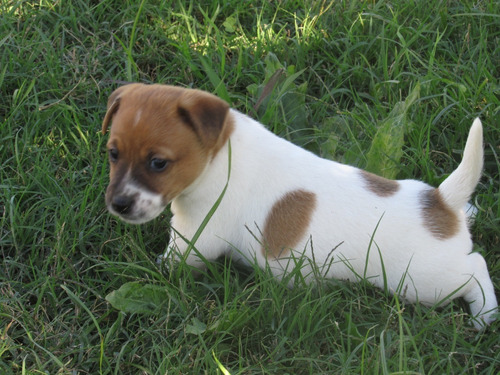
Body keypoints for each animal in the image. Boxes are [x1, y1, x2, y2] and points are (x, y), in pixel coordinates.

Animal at [100, 84, 496, 328]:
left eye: (158, 163)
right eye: (113, 154)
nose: (119, 204)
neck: (220, 153)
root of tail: (441, 203)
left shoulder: (194, 237)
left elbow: (172, 262)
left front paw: (151, 272)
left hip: (423, 283)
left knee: (476, 267)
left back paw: (485, 314)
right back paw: (470, 215)